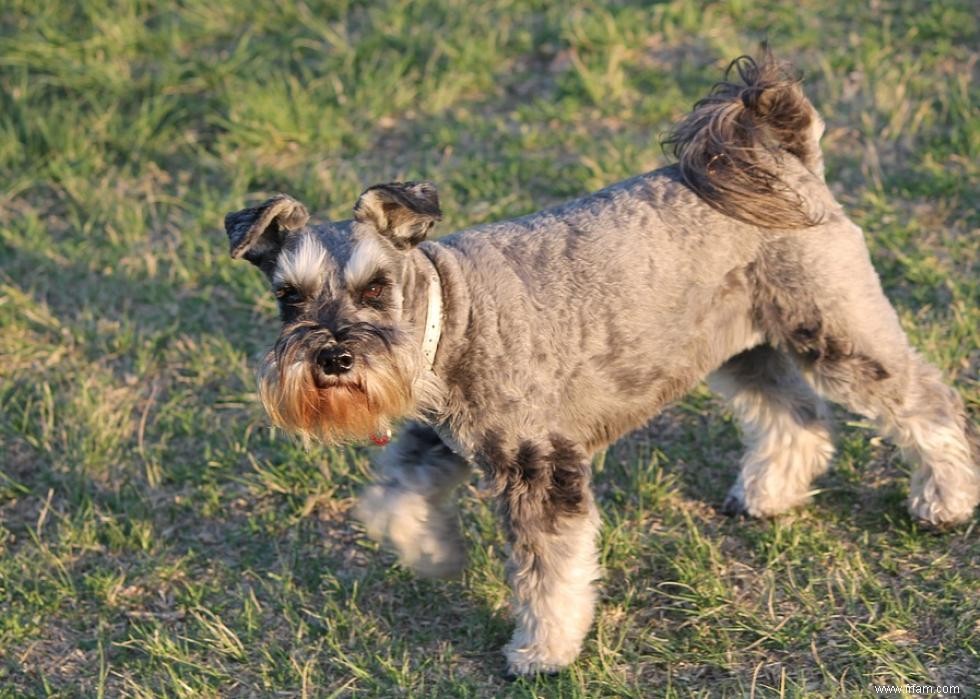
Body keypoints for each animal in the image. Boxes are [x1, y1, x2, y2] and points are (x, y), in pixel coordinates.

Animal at [226, 54, 976, 680]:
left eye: (375, 286)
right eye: (289, 297)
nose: (333, 356)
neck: (452, 319)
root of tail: (792, 158)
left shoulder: (541, 466)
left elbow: (550, 572)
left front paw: (541, 652)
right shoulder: (440, 441)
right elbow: (390, 503)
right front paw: (436, 554)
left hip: (835, 330)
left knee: (925, 401)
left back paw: (945, 502)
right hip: (742, 351)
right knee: (797, 415)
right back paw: (768, 495)